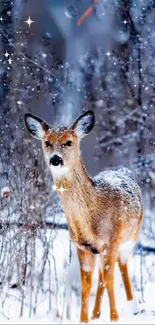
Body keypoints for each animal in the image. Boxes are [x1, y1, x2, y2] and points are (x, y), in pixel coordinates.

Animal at [25, 109, 143, 322]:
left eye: (68, 142)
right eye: (47, 142)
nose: (55, 159)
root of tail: (123, 169)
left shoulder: (112, 240)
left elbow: (110, 279)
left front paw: (114, 318)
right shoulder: (82, 246)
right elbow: (86, 285)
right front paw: (84, 320)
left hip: (131, 235)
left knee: (121, 266)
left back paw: (134, 307)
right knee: (102, 277)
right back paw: (96, 314)